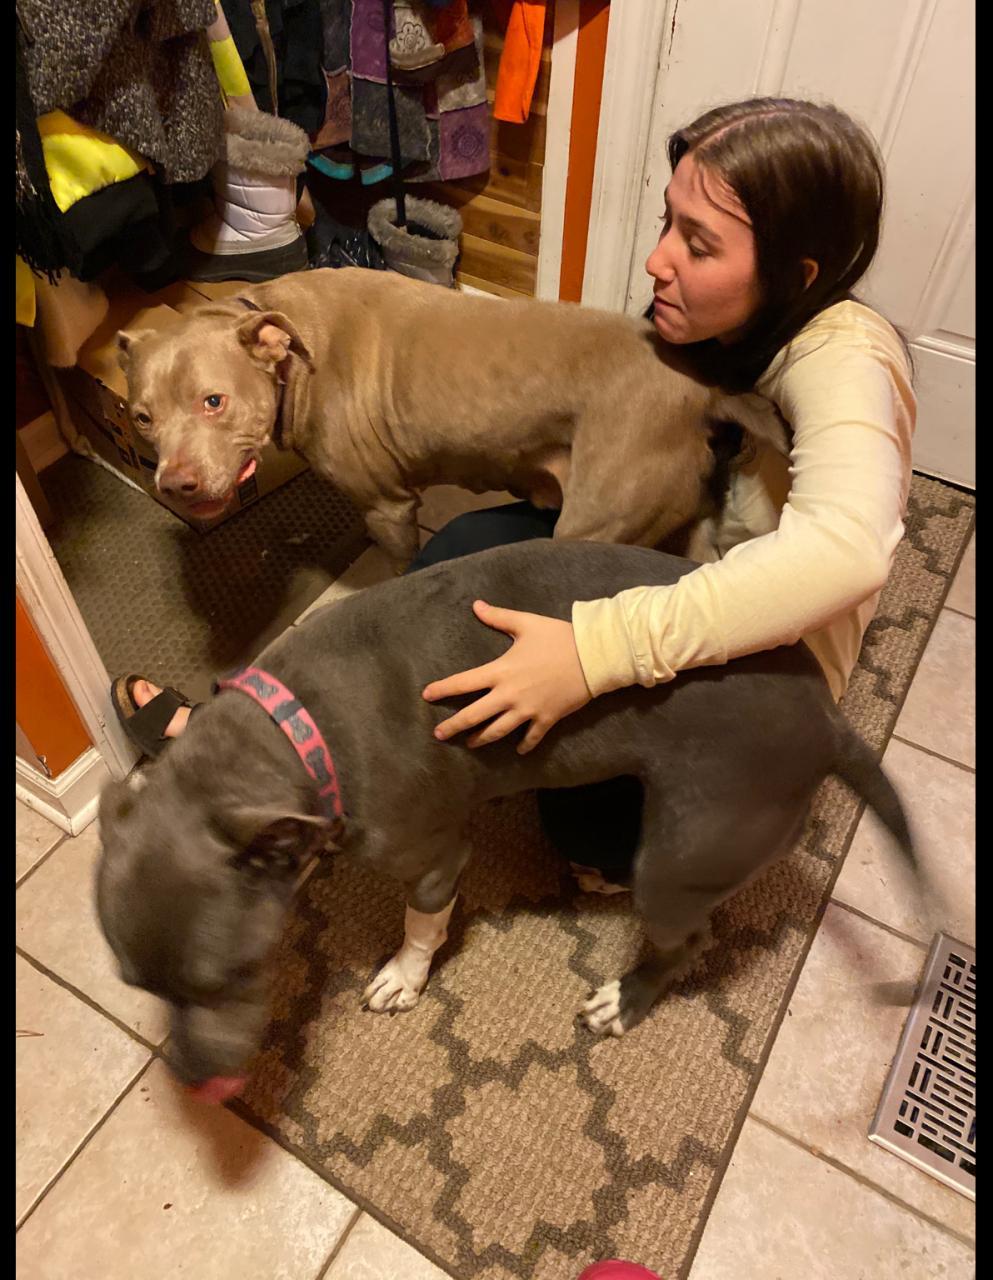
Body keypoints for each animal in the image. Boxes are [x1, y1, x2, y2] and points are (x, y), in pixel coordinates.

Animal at [95, 540, 916, 1097]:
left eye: (231, 975)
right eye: (138, 985)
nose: (192, 1078)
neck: (296, 727)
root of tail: (827, 718)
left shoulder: (431, 857)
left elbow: (422, 923)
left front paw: (402, 976)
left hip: (690, 849)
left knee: (688, 939)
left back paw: (624, 999)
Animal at [116, 267, 787, 567]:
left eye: (214, 401)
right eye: (143, 418)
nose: (174, 484)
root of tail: (703, 388)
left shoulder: (388, 507)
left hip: (593, 527)